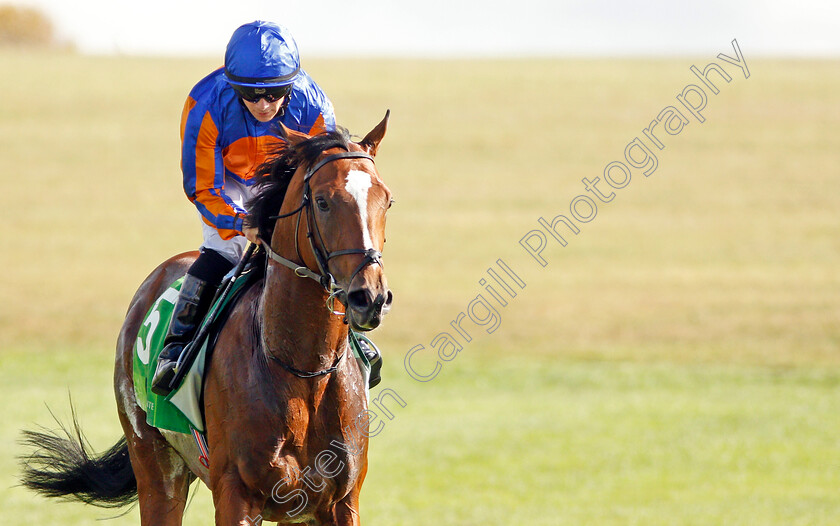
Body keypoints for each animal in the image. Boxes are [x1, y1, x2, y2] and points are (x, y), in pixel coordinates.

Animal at [21, 113, 396, 524]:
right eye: (323, 201)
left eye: (387, 200)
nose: (370, 297)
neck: (301, 370)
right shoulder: (236, 495)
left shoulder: (340, 502)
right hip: (155, 465)